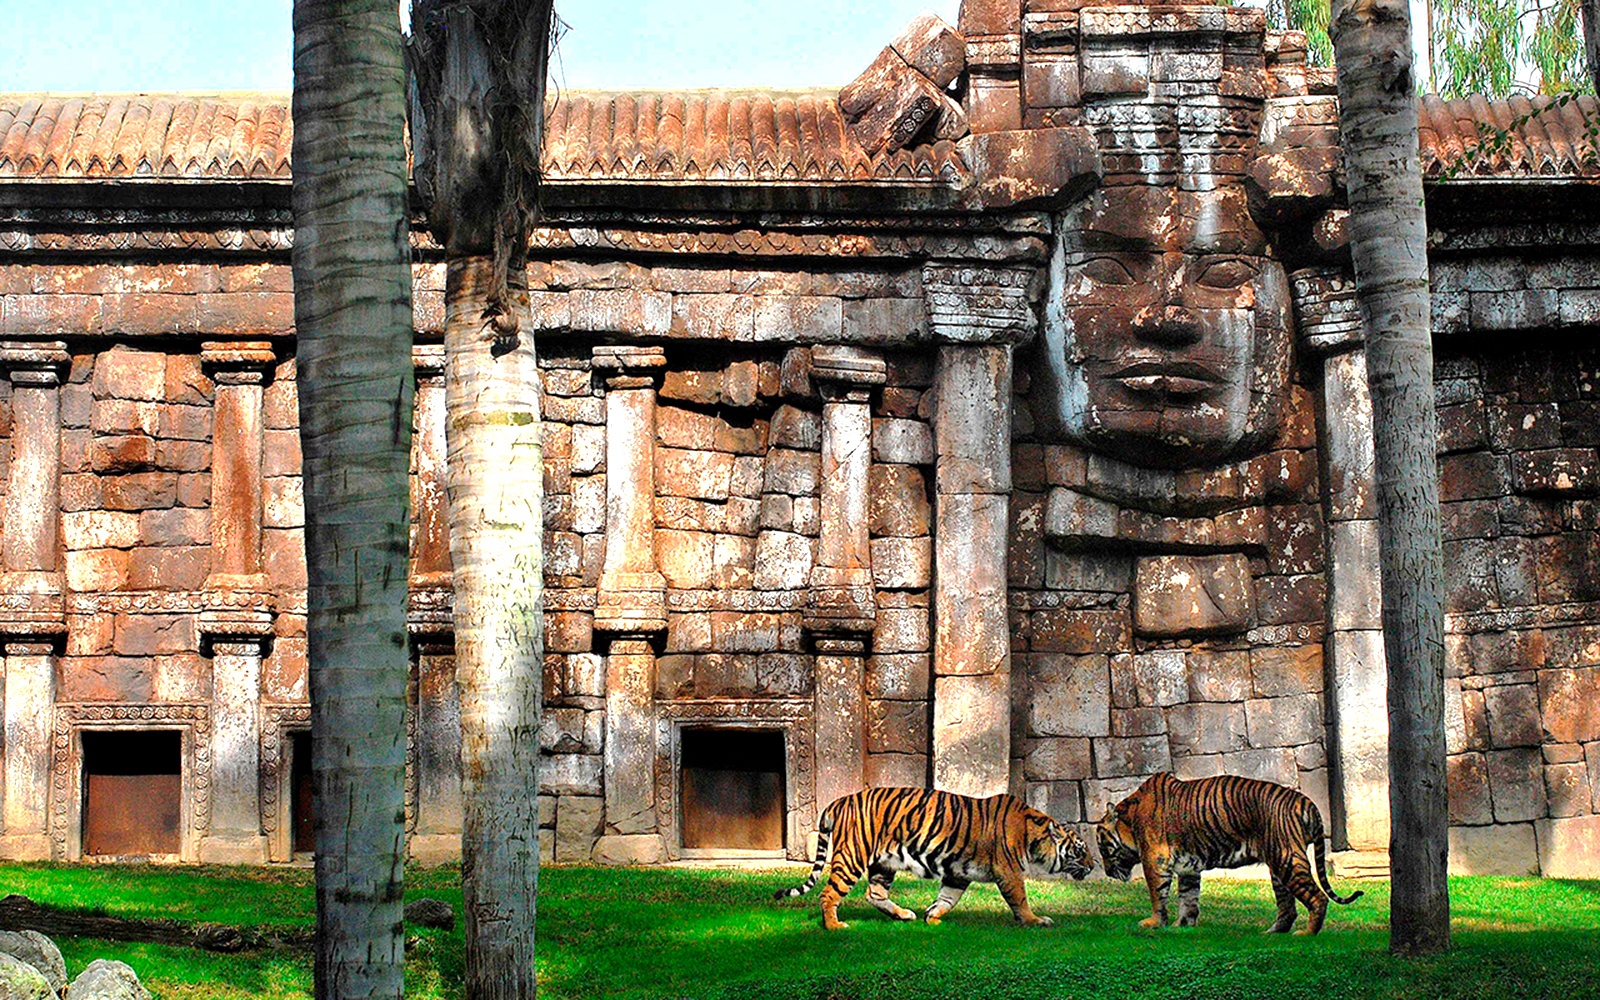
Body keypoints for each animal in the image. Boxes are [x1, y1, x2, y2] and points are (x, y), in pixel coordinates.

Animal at [773, 786, 1095, 930]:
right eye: (1080, 850)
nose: (1093, 867)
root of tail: (839, 800)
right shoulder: (1009, 870)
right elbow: (1020, 897)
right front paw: (1035, 919)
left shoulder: (958, 873)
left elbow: (947, 898)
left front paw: (933, 917)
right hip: (852, 856)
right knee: (828, 894)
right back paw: (834, 926)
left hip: (883, 864)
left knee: (874, 894)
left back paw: (903, 914)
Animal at [1095, 772, 1364, 935]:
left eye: (1102, 846)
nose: (1107, 872)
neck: (1129, 820)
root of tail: (1306, 802)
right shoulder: (1188, 867)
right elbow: (1188, 897)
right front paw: (1183, 925)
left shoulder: (1155, 861)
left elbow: (1157, 895)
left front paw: (1153, 923)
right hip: (1278, 866)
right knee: (1288, 905)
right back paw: (1273, 932)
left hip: (1287, 860)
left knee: (1318, 898)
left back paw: (1306, 933)